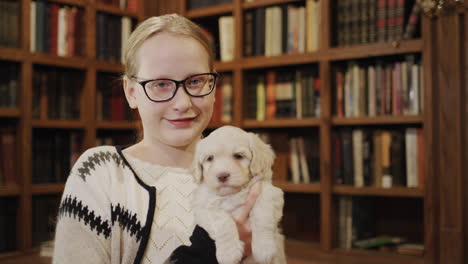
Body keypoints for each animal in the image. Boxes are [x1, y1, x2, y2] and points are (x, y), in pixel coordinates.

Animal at [190, 126, 286, 264]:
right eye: (210, 158)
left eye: (238, 156)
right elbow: (222, 222)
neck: (232, 194)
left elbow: (262, 215)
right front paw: (229, 253)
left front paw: (264, 248)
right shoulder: (204, 206)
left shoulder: (270, 192)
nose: (222, 175)